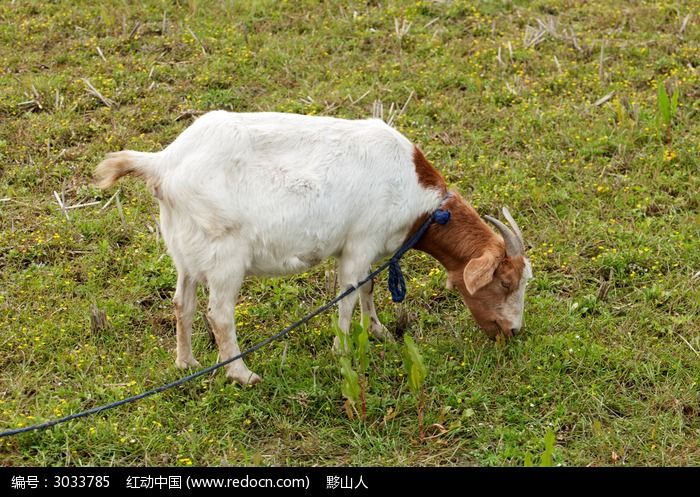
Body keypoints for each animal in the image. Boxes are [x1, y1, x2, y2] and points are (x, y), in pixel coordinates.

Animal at [95, 111, 532, 384]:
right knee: (218, 314)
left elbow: (369, 288)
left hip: (184, 249)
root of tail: (164, 164)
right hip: (224, 256)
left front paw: (378, 331)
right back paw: (241, 374)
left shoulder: (369, 248)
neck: (419, 200)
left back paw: (186, 362)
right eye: (506, 282)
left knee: (181, 303)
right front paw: (342, 352)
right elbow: (347, 296)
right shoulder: (360, 243)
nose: (512, 331)